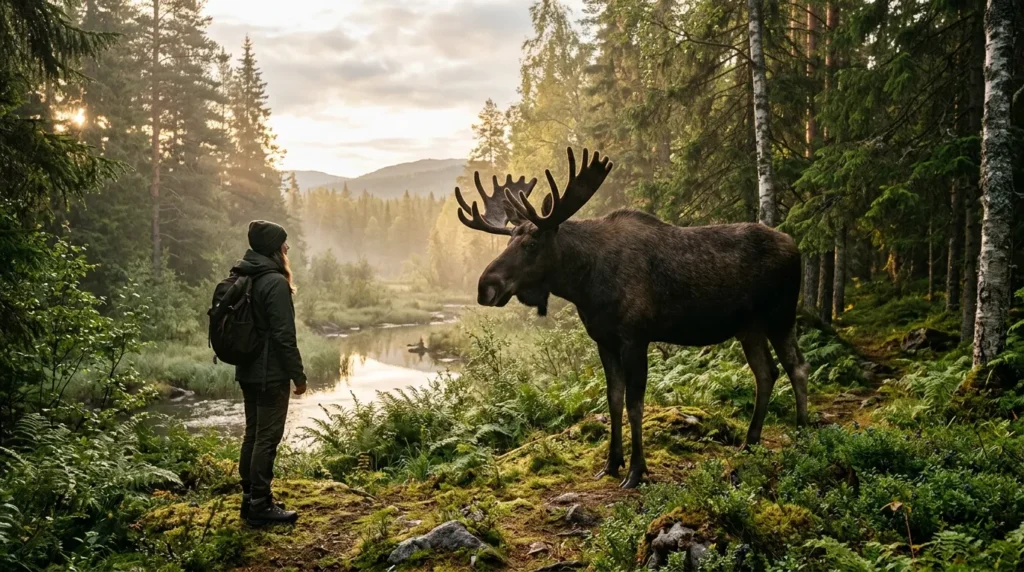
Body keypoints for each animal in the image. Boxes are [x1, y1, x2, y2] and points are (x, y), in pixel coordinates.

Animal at [453, 147, 810, 489]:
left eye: (531, 243)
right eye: (510, 239)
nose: (486, 287)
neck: (584, 283)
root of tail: (797, 246)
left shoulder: (635, 338)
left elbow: (635, 405)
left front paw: (637, 471)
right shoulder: (604, 341)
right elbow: (613, 400)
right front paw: (611, 464)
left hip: (781, 315)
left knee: (796, 367)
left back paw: (803, 433)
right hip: (749, 326)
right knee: (766, 373)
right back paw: (750, 442)